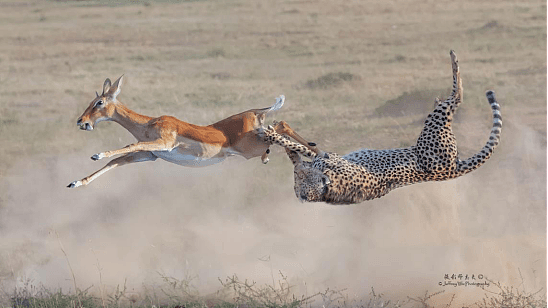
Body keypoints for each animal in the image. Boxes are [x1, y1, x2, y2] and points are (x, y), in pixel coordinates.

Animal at [262, 50, 500, 205]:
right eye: (300, 181)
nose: (301, 175)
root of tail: (455, 168)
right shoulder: (322, 160)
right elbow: (300, 148)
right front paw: (274, 132)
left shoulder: (327, 157)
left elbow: (301, 146)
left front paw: (273, 131)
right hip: (435, 129)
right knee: (455, 99)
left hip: (433, 129)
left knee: (457, 95)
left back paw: (453, 63)